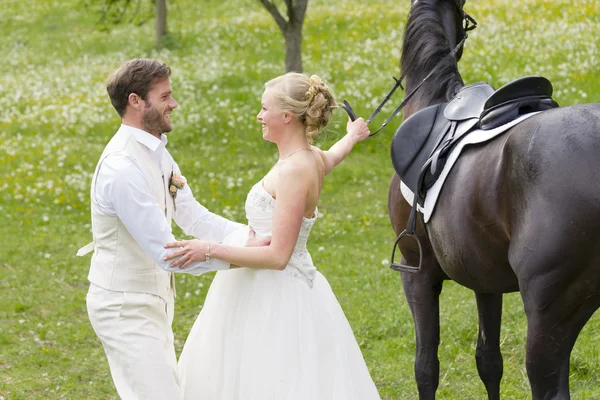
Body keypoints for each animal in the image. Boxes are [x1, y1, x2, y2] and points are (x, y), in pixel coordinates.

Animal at [386, 0, 600, 400]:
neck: (432, 100)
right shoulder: (484, 279)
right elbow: (489, 361)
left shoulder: (417, 273)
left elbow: (425, 367)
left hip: (550, 316)